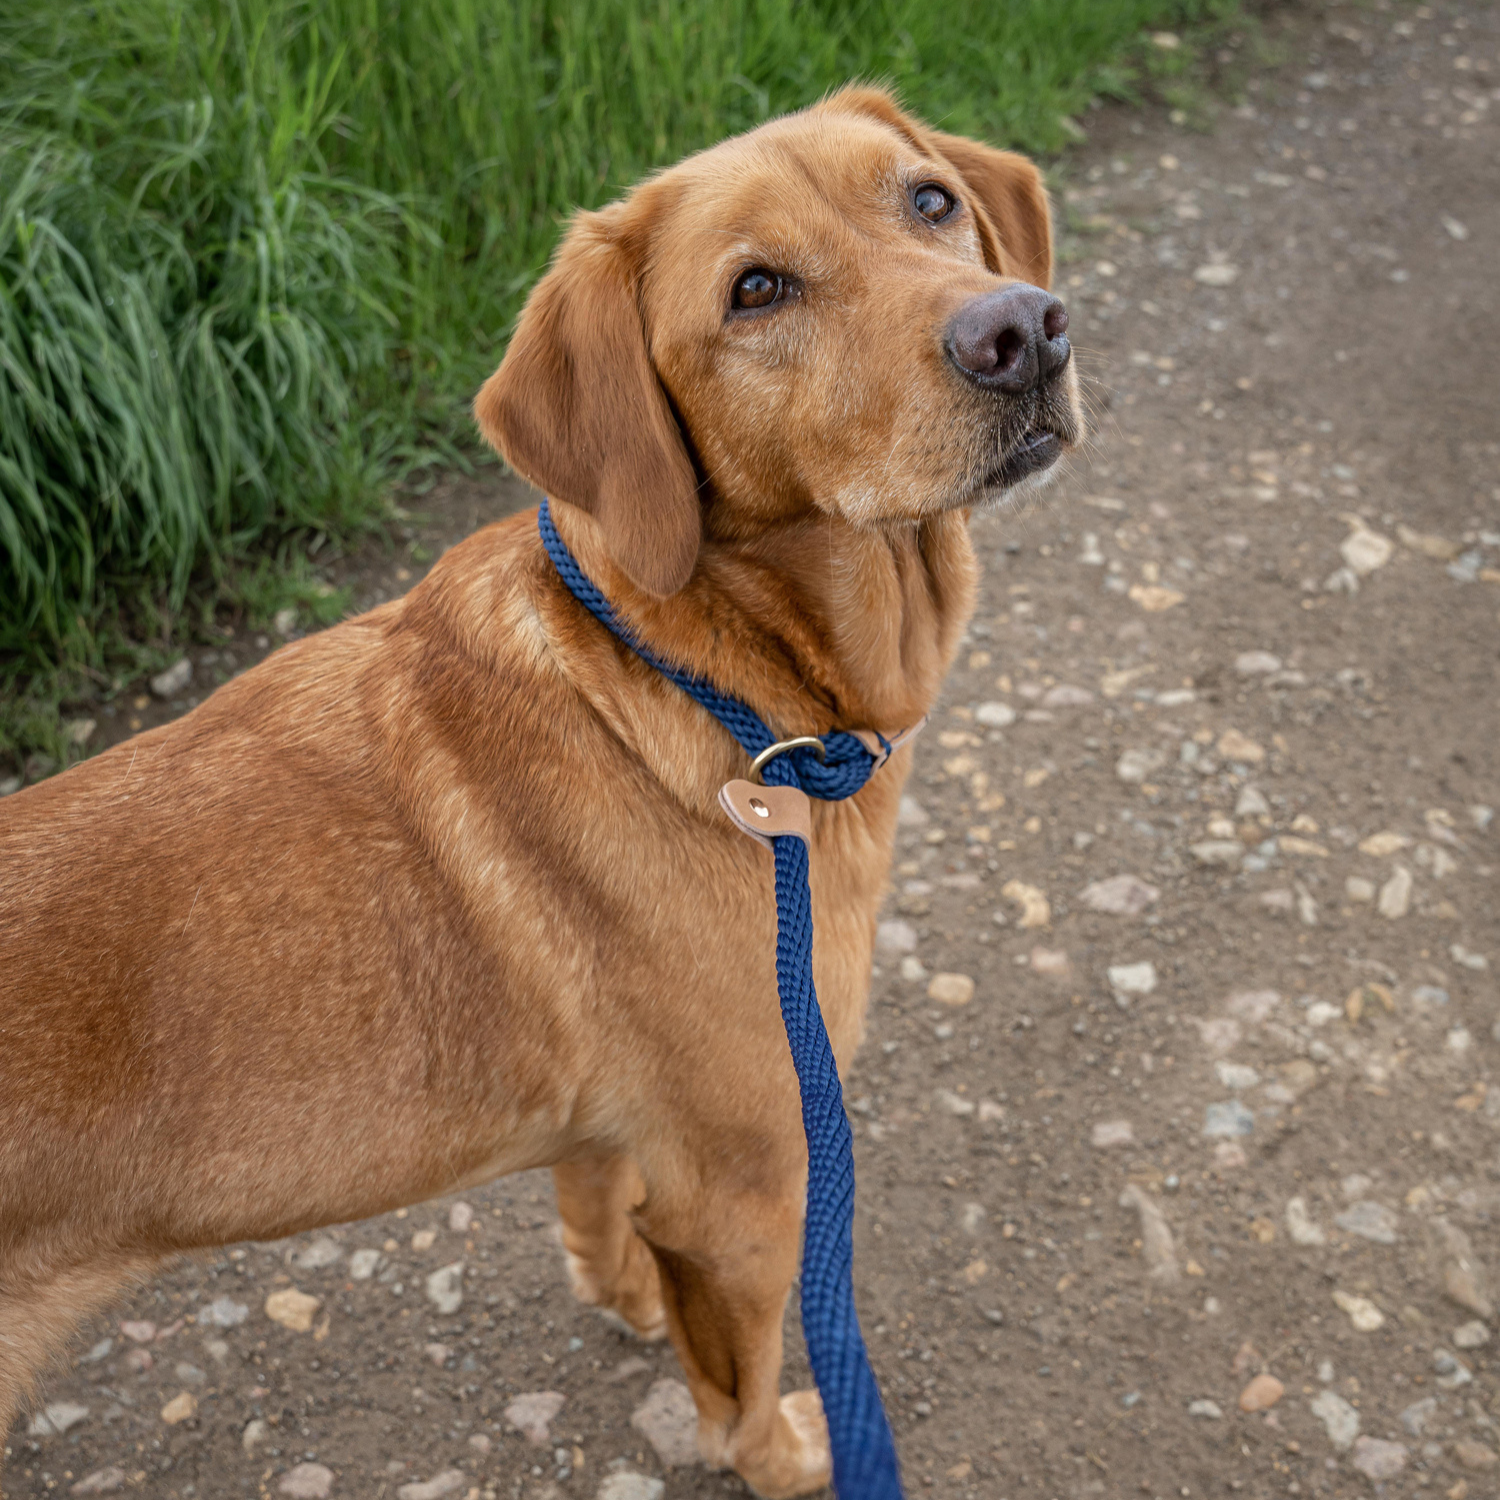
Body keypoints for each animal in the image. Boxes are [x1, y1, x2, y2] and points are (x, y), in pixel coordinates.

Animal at [0, 87, 1080, 1494]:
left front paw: (623, 1297)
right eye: (756, 290)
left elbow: (597, 1217)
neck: (703, 677)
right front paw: (788, 1458)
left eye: (932, 200)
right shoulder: (749, 1189)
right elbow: (744, 1382)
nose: (1023, 331)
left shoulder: (615, 1140)